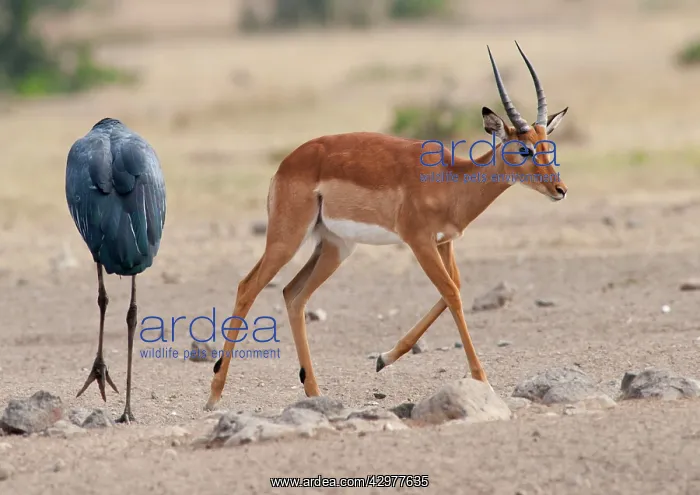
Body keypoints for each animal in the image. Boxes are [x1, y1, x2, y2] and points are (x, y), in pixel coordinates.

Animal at [205, 41, 569, 410]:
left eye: (547, 144)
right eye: (523, 149)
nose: (560, 190)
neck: (451, 180)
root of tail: (288, 162)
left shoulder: (444, 242)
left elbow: (453, 288)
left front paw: (383, 358)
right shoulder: (419, 242)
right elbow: (452, 293)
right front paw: (481, 379)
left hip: (335, 247)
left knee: (294, 294)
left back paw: (315, 392)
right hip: (287, 238)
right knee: (248, 286)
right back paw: (214, 395)